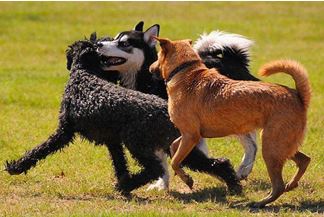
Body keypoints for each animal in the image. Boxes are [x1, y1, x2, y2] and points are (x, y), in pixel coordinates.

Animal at [5, 37, 240, 195]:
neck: (84, 75)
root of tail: (166, 109)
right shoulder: (113, 141)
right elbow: (119, 164)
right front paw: (124, 181)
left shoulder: (65, 131)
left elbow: (41, 149)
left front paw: (16, 166)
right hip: (174, 144)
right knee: (217, 162)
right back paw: (234, 185)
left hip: (138, 143)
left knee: (155, 168)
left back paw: (125, 186)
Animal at [97, 21, 260, 190]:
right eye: (114, 38)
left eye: (124, 43)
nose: (98, 44)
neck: (148, 80)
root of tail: (235, 60)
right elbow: (162, 161)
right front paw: (162, 185)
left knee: (252, 144)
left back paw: (244, 168)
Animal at [149, 38, 312, 208]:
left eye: (158, 55)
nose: (149, 68)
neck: (185, 71)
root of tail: (299, 97)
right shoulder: (189, 134)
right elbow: (174, 147)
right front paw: (183, 174)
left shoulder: (191, 135)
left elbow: (174, 160)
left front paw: (187, 179)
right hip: (280, 144)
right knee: (304, 160)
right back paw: (291, 184)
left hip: (271, 147)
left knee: (278, 185)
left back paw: (260, 203)